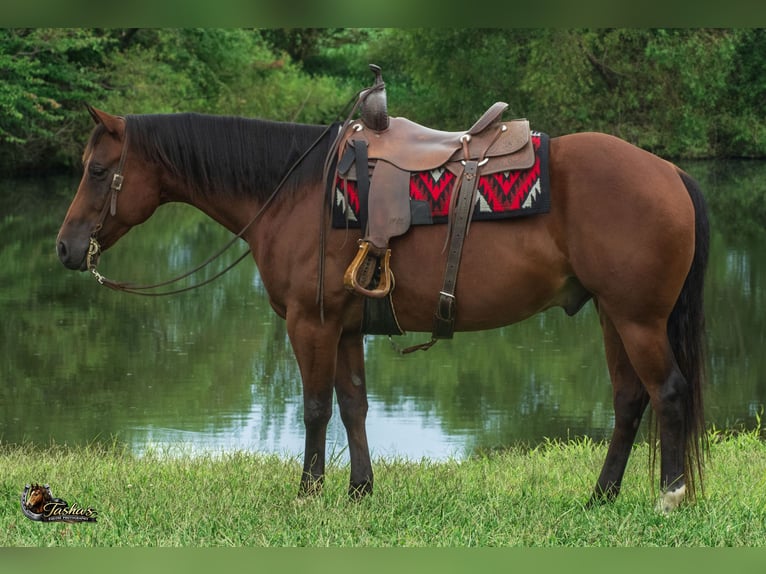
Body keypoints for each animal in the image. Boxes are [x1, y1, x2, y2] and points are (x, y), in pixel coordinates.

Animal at [56, 105, 709, 512]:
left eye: (98, 170)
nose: (64, 247)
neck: (295, 193)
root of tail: (669, 171)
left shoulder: (310, 324)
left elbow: (315, 408)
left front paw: (309, 493)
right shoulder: (344, 329)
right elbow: (353, 407)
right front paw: (359, 490)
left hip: (637, 319)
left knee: (669, 392)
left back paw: (669, 496)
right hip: (611, 315)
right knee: (630, 400)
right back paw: (601, 496)